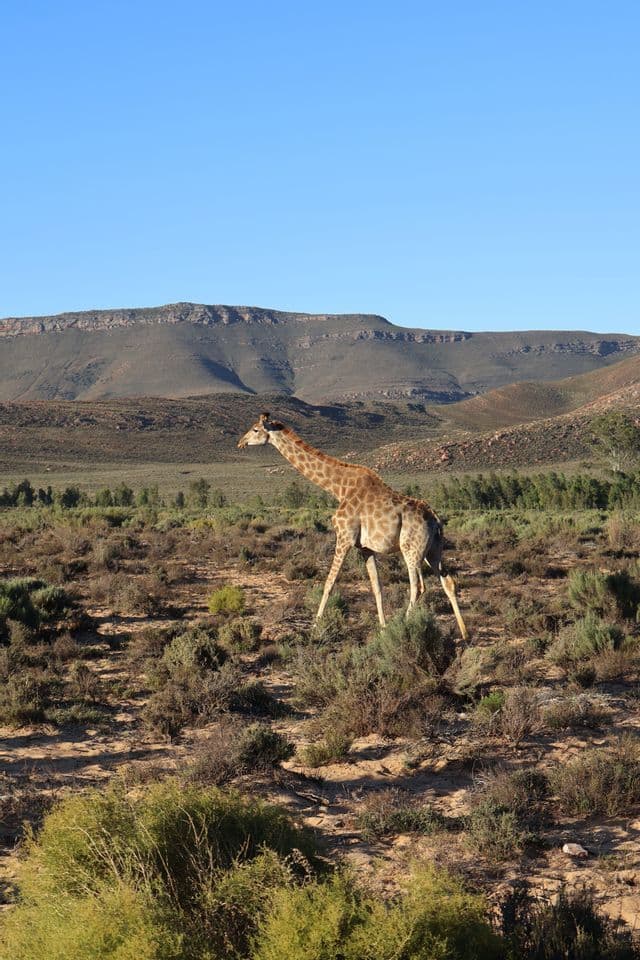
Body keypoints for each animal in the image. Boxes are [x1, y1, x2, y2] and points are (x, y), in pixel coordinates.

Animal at [237, 413, 468, 640]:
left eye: (255, 429)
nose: (241, 442)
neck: (339, 489)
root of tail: (436, 520)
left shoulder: (344, 537)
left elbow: (329, 583)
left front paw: (315, 627)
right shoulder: (365, 547)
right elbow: (377, 587)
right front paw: (383, 628)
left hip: (411, 549)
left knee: (418, 587)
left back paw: (403, 626)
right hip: (433, 550)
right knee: (448, 582)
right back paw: (464, 634)